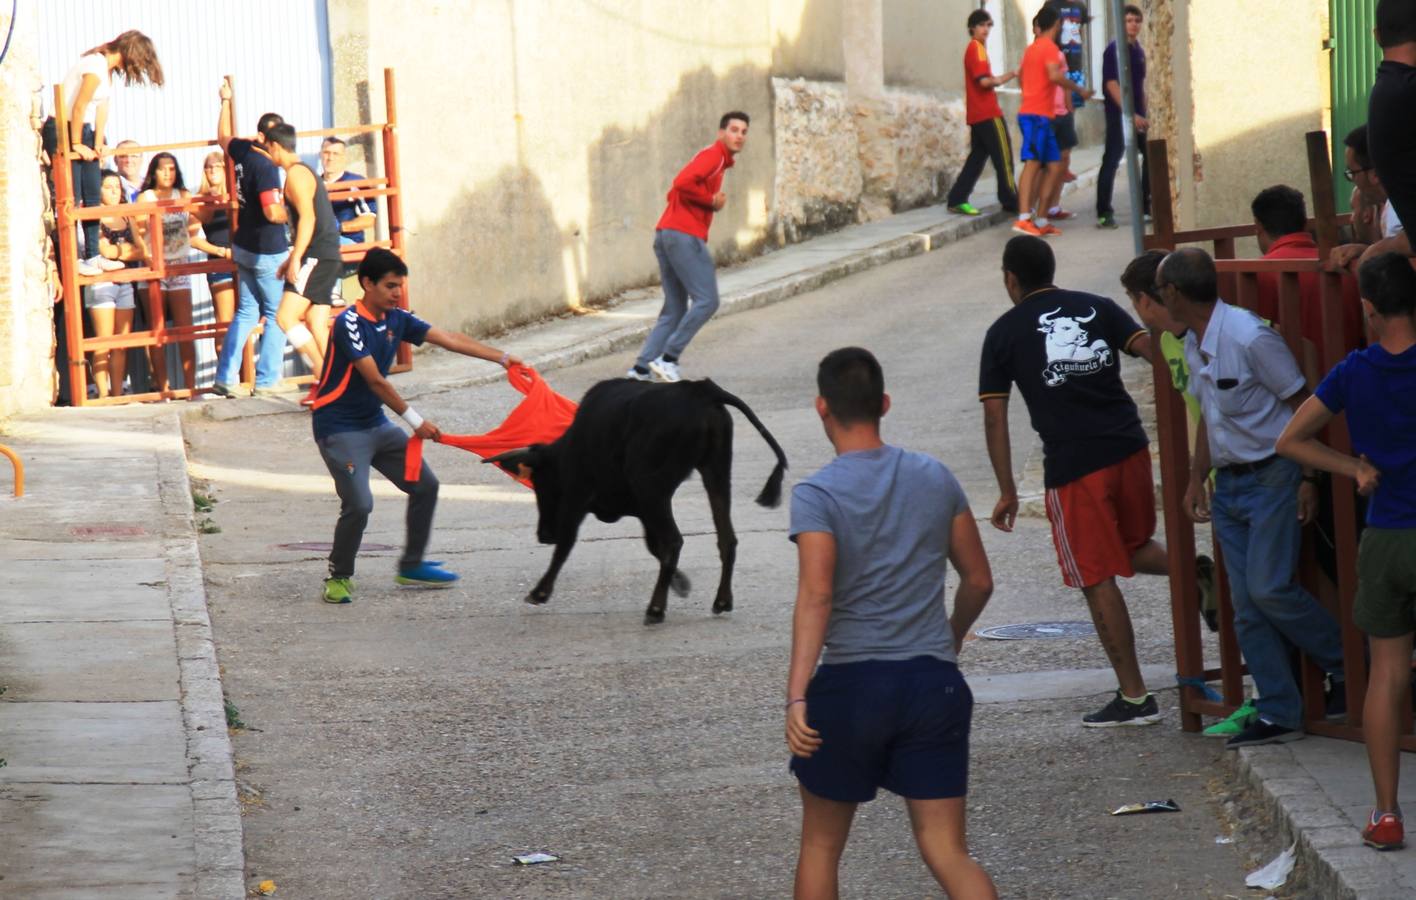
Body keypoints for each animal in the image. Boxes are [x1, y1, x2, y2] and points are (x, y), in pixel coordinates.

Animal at [489, 376, 792, 622]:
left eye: (540, 484)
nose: (544, 535)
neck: (569, 447)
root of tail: (700, 390)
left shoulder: (578, 496)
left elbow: (566, 545)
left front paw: (540, 592)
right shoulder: (641, 509)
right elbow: (653, 547)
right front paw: (680, 583)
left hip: (651, 486)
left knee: (674, 541)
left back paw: (656, 610)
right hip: (714, 472)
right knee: (725, 538)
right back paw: (721, 601)